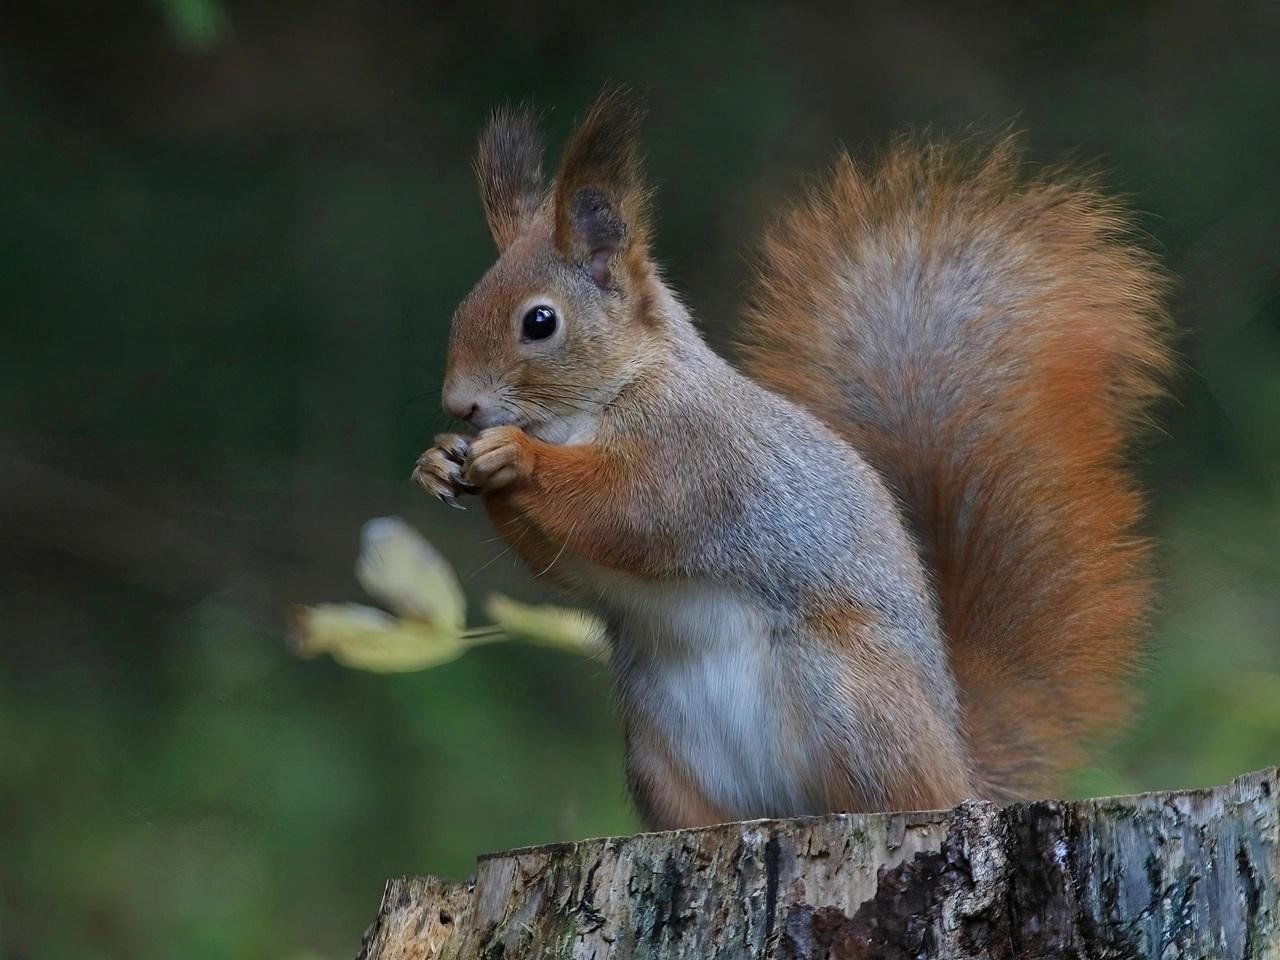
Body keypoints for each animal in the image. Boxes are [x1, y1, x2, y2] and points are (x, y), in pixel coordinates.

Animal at [414, 86, 1172, 829]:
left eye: (539, 322)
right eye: (460, 309)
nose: (460, 405)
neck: (590, 409)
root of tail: (961, 767)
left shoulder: (697, 454)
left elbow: (630, 510)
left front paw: (515, 457)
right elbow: (563, 562)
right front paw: (440, 460)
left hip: (853, 702)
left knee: (892, 794)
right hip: (658, 751)